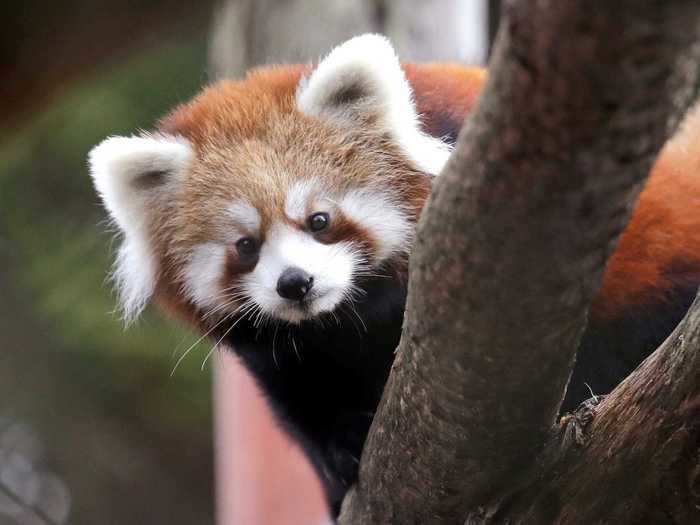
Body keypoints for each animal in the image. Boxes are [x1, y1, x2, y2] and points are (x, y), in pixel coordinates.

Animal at [87, 34, 700, 512]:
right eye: (246, 245)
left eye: (319, 220)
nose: (295, 283)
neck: (350, 319)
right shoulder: (284, 356)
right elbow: (306, 403)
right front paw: (344, 449)